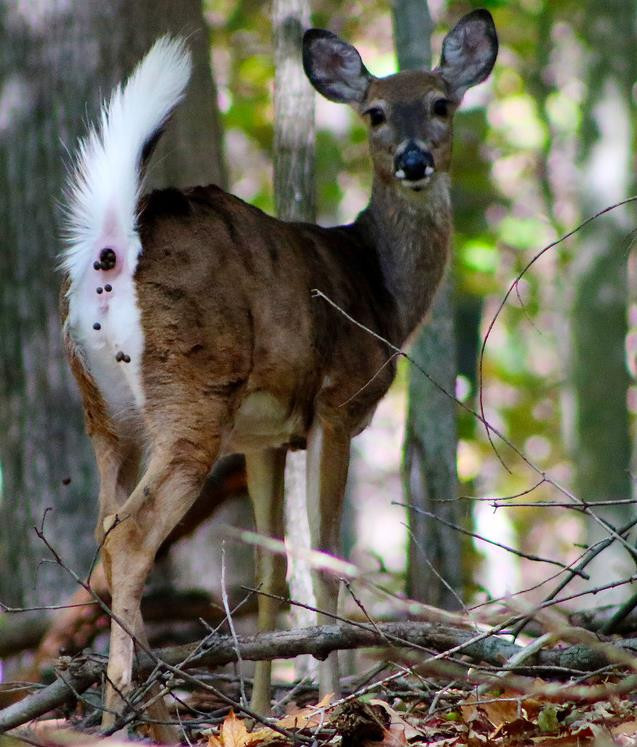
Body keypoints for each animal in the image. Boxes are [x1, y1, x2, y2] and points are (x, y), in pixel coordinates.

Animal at [59, 10, 496, 736]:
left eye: (441, 103)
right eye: (375, 112)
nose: (413, 160)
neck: (380, 290)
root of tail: (111, 255)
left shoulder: (261, 438)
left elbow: (267, 573)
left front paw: (262, 712)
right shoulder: (337, 404)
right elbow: (323, 561)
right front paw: (332, 700)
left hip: (106, 412)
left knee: (103, 528)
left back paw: (145, 707)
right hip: (193, 394)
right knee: (131, 533)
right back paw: (125, 710)